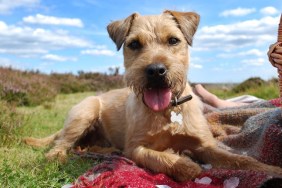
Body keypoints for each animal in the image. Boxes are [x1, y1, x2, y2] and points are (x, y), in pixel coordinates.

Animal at [23, 10, 282, 181]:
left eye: (173, 40)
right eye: (134, 44)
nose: (156, 71)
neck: (169, 111)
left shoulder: (206, 145)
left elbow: (241, 160)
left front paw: (272, 171)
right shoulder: (136, 148)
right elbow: (163, 158)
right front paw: (184, 163)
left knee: (84, 146)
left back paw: (105, 151)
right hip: (85, 113)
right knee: (60, 146)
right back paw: (62, 156)